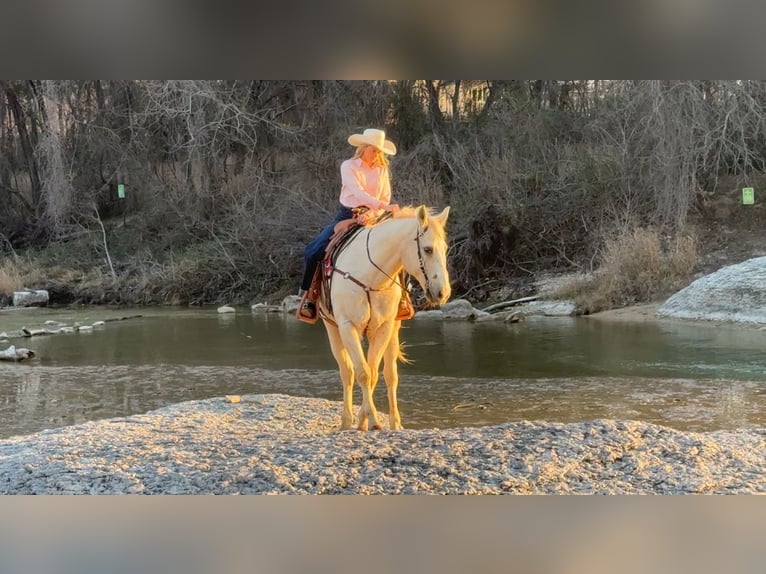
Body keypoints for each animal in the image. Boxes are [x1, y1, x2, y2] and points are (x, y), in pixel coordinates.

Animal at [316, 207, 450, 432]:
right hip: (332, 328)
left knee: (390, 375)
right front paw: (370, 420)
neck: (369, 277)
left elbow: (374, 374)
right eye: (428, 249)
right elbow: (362, 373)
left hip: (392, 331)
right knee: (347, 373)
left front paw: (367, 420)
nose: (443, 293)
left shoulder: (383, 328)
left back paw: (395, 423)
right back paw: (346, 421)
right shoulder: (347, 327)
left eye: (445, 248)